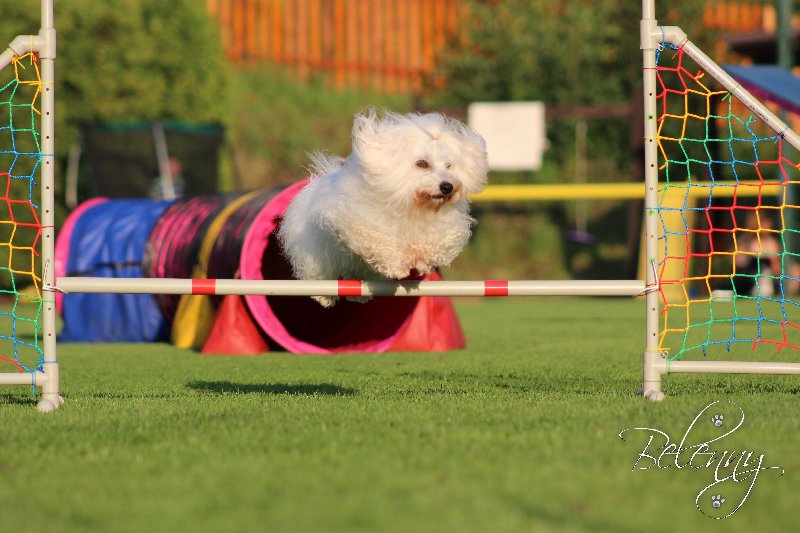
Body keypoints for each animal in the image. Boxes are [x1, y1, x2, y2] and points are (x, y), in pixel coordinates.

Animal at [278, 107, 484, 308]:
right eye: (422, 163)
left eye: (449, 165)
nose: (447, 186)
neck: (412, 205)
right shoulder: (364, 224)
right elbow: (384, 243)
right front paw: (398, 267)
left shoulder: (443, 229)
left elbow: (434, 242)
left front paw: (422, 261)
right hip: (316, 254)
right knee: (319, 272)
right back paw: (324, 296)